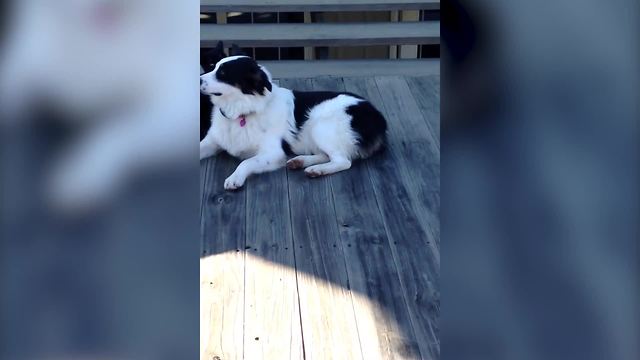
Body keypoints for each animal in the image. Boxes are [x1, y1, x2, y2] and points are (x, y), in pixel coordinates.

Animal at [200, 54, 384, 190]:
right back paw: (301, 161)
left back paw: (317, 170)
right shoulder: (212, 141)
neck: (242, 113)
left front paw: (235, 177)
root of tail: (377, 115)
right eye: (213, 66)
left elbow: (246, 162)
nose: (199, 79)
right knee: (327, 155)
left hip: (321, 125)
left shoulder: (273, 153)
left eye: (223, 74)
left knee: (343, 161)